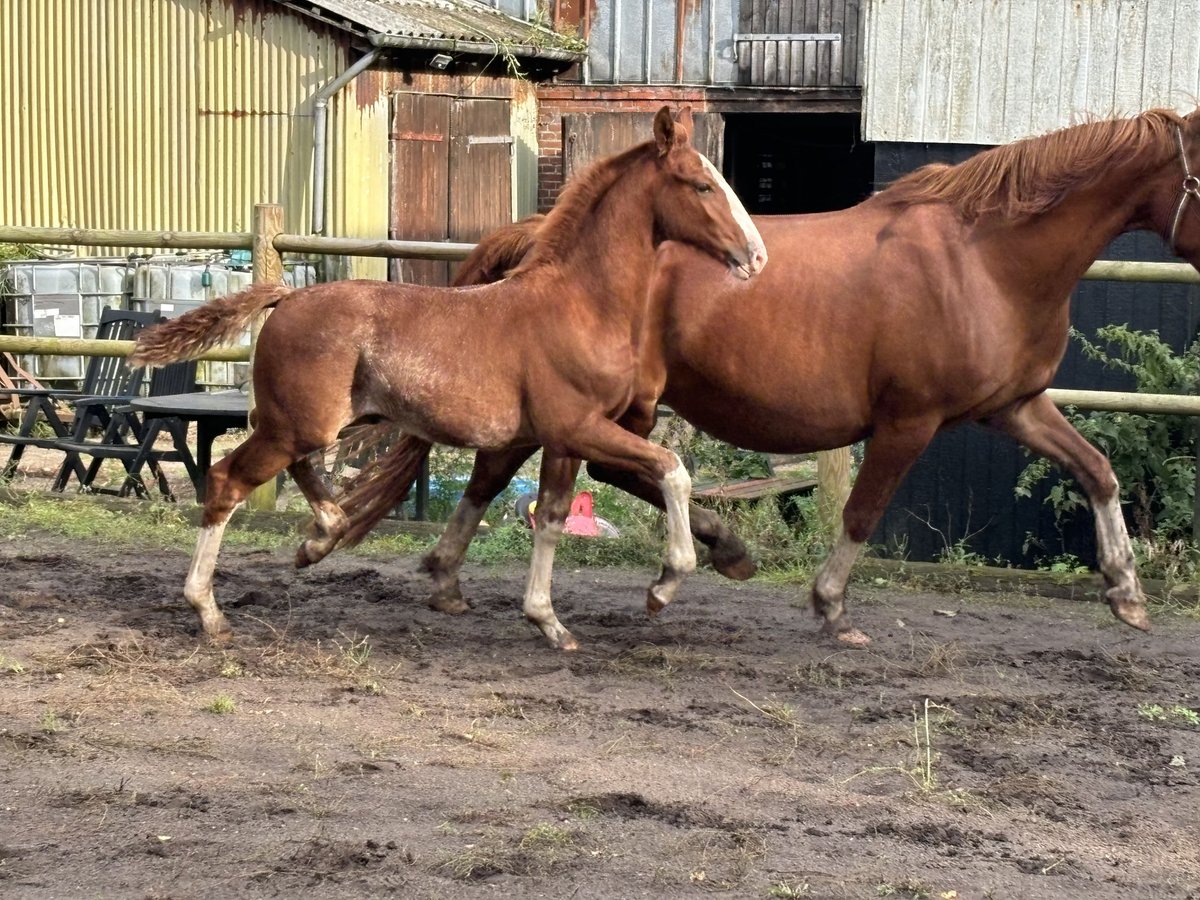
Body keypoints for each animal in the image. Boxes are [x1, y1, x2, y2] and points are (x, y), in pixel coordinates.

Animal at [129, 107, 768, 643]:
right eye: (702, 185)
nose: (757, 257)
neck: (579, 304)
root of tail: (285, 296)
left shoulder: (557, 440)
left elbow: (551, 517)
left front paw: (544, 619)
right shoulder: (578, 427)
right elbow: (672, 470)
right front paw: (662, 586)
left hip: (308, 422)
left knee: (302, 470)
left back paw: (320, 538)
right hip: (297, 424)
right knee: (226, 481)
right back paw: (210, 611)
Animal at [333, 107, 1200, 648]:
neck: (983, 259)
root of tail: (539, 229)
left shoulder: (1015, 406)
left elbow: (1099, 471)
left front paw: (1127, 593)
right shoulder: (909, 420)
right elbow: (861, 512)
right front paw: (831, 607)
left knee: (505, 468)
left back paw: (456, 574)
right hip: (621, 404)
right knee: (596, 470)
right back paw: (702, 554)